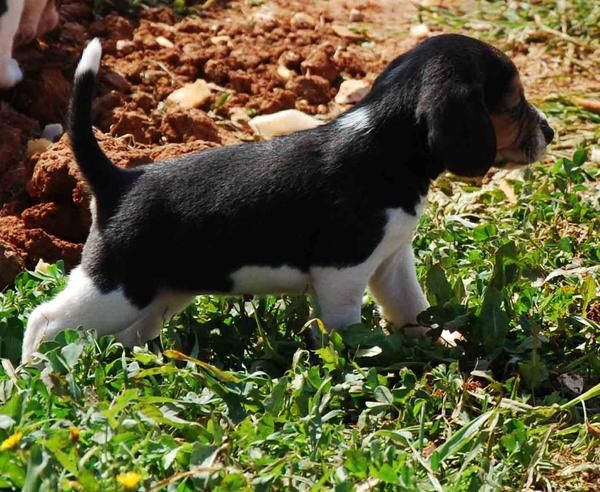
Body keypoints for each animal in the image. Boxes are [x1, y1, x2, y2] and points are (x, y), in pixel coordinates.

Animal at [21, 33, 556, 362]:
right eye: (513, 103)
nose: (550, 132)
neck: (383, 144)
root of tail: (117, 180)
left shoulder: (391, 261)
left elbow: (411, 307)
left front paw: (433, 343)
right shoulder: (341, 273)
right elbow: (346, 326)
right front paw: (358, 356)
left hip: (158, 297)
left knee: (124, 336)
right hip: (113, 289)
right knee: (45, 319)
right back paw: (34, 374)